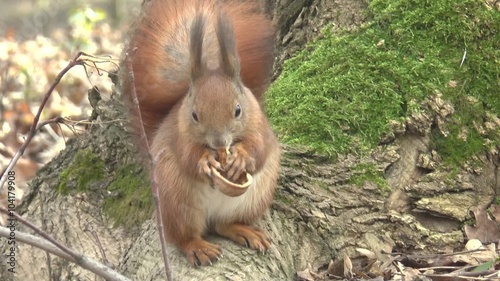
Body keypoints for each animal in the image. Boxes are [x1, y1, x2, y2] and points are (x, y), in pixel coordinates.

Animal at [122, 0, 282, 264]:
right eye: (195, 115)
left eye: (238, 110)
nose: (218, 142)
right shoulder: (179, 135)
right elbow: (188, 156)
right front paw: (205, 162)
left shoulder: (260, 127)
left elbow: (259, 149)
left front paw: (241, 158)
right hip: (177, 203)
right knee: (184, 236)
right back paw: (198, 247)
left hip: (254, 199)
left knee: (223, 225)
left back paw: (244, 230)